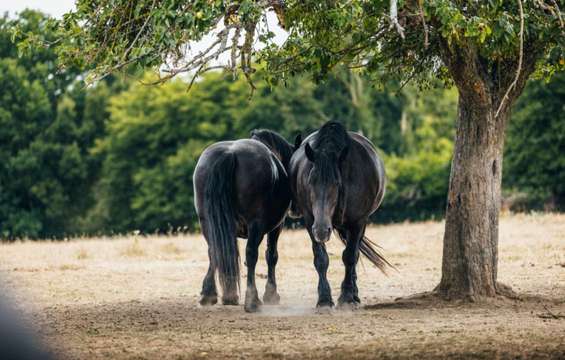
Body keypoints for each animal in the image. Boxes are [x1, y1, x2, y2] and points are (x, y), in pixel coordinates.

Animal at [194, 130, 298, 312]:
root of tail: (229, 154)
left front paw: (229, 296)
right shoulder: (276, 227)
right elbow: (271, 255)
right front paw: (271, 295)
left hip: (207, 222)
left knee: (214, 251)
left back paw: (209, 294)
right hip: (255, 226)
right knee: (251, 254)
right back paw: (252, 300)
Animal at [288, 122, 390, 308]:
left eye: (336, 183)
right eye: (311, 181)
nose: (322, 230)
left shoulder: (357, 222)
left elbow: (350, 257)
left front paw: (347, 297)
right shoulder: (310, 220)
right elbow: (321, 258)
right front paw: (324, 299)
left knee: (355, 254)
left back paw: (354, 294)